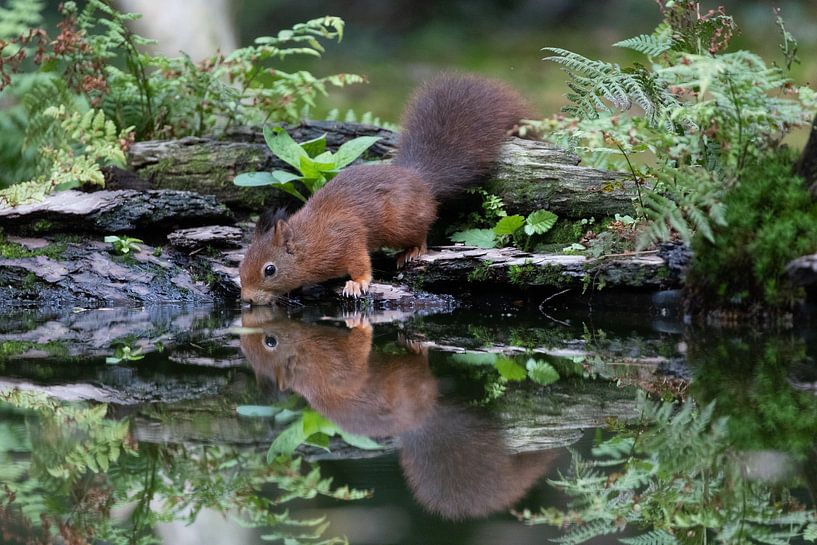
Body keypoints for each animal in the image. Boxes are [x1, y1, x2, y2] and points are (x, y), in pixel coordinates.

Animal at [239, 73, 531, 304]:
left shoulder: (346, 238)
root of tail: (420, 180)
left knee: (422, 234)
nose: (247, 300)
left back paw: (412, 251)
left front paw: (357, 283)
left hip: (402, 224)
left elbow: (360, 262)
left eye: (269, 270)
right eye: (242, 263)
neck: (309, 243)